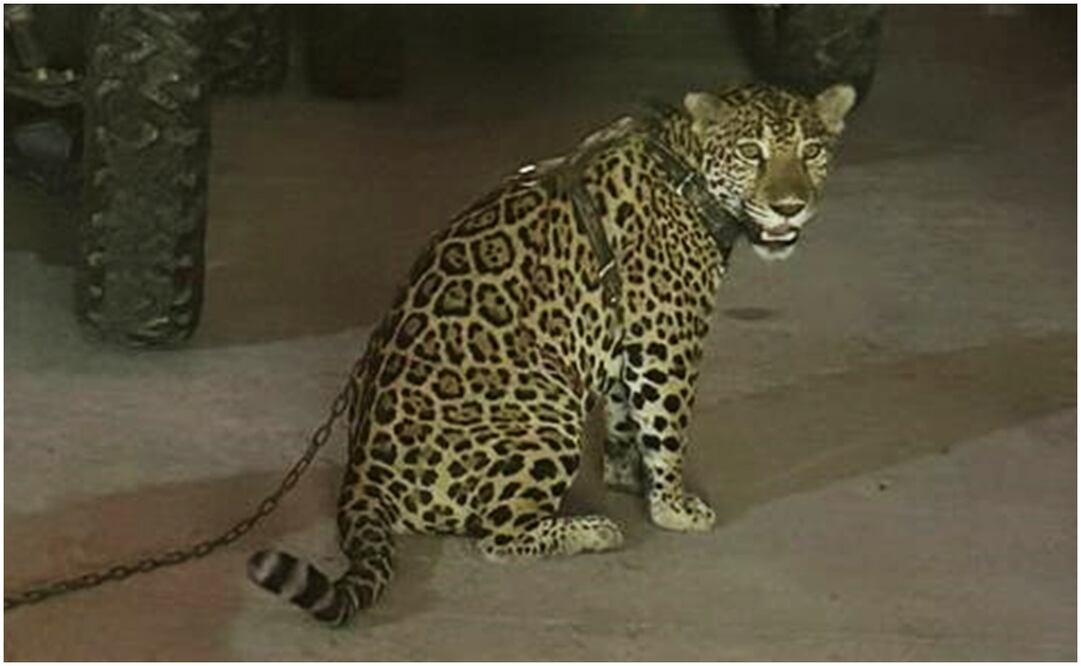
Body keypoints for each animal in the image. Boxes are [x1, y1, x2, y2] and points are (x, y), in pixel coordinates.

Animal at [247, 82, 857, 625]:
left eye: (812, 151)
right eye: (751, 152)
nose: (789, 207)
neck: (687, 170)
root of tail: (361, 474)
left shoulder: (625, 337)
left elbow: (625, 416)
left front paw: (625, 476)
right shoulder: (668, 338)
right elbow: (667, 426)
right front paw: (673, 505)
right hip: (546, 418)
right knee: (496, 537)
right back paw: (591, 530)